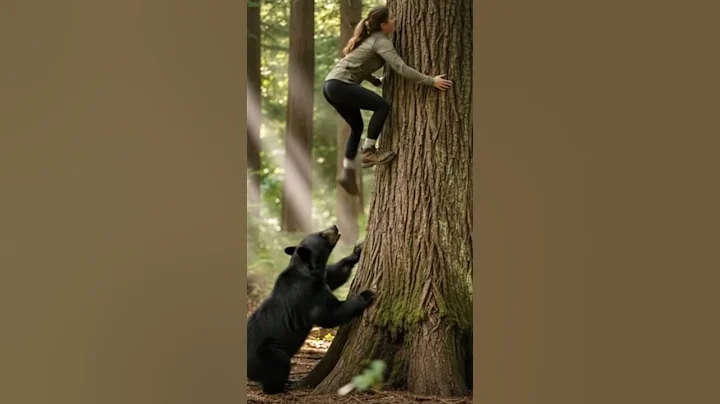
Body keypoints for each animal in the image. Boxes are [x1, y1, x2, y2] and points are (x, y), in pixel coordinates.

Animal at [246, 224, 375, 394]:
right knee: (278, 365)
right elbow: (329, 315)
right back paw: (282, 386)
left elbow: (333, 276)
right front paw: (365, 295)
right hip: (267, 351)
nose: (334, 226)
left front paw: (357, 252)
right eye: (322, 234)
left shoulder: (321, 279)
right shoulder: (309, 294)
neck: (307, 270)